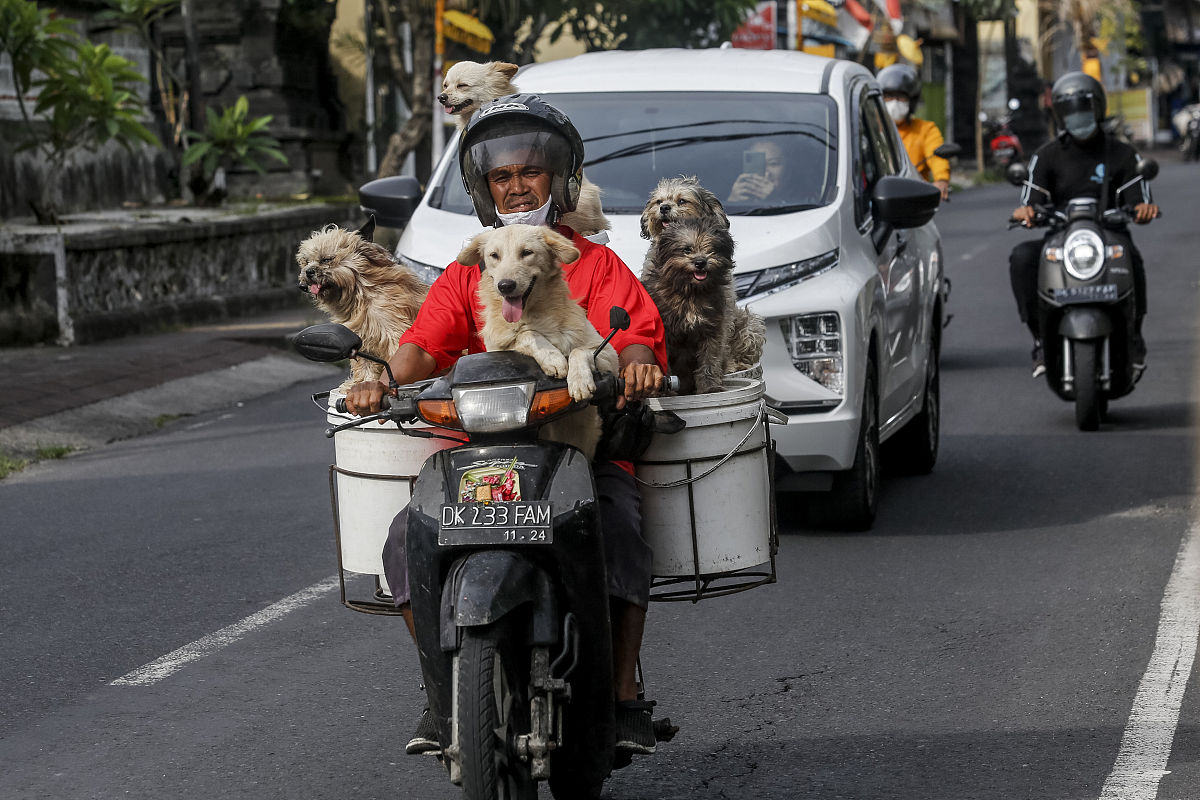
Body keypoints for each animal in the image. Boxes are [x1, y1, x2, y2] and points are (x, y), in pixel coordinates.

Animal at [295, 219, 427, 391]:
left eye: (326, 259)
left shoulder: (394, 332)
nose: (308, 272)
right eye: (305, 261)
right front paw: (363, 383)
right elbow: (366, 365)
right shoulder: (361, 338)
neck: (362, 295)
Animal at [456, 226, 619, 462]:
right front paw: (553, 359)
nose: (505, 286)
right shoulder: (500, 346)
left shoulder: (608, 354)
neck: (535, 314)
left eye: (526, 252)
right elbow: (525, 334)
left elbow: (579, 350)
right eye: (494, 255)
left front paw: (579, 380)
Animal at [643, 217, 763, 395]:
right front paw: (666, 392)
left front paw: (710, 387)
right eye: (686, 249)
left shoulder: (713, 330)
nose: (700, 262)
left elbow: (709, 360)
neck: (691, 293)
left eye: (712, 249)